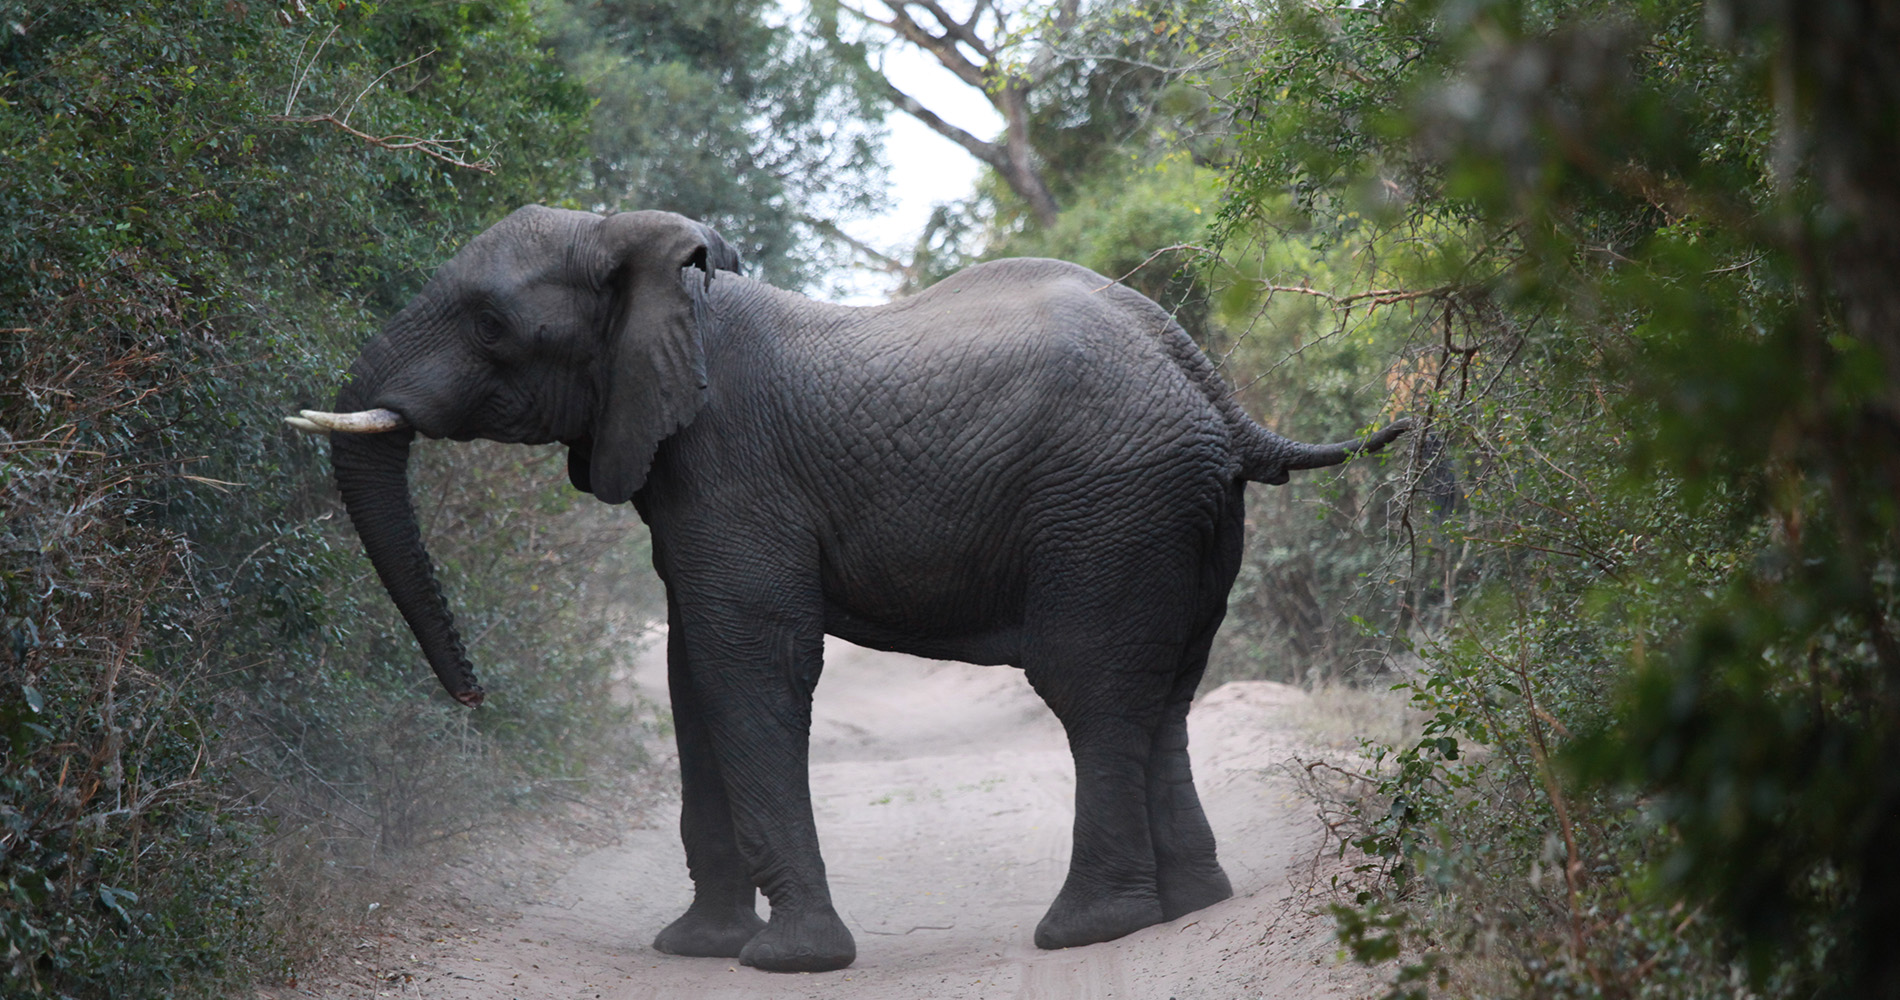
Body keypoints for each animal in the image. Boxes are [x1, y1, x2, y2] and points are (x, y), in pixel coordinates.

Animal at [285, 208, 1413, 973]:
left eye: (489, 324)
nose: (474, 695)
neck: (657, 267)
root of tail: (1209, 380)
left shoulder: (732, 468)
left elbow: (751, 663)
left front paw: (791, 962)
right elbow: (691, 669)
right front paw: (694, 947)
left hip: (1109, 505)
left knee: (1092, 690)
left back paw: (1087, 928)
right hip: (1182, 518)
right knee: (1166, 692)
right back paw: (1192, 905)